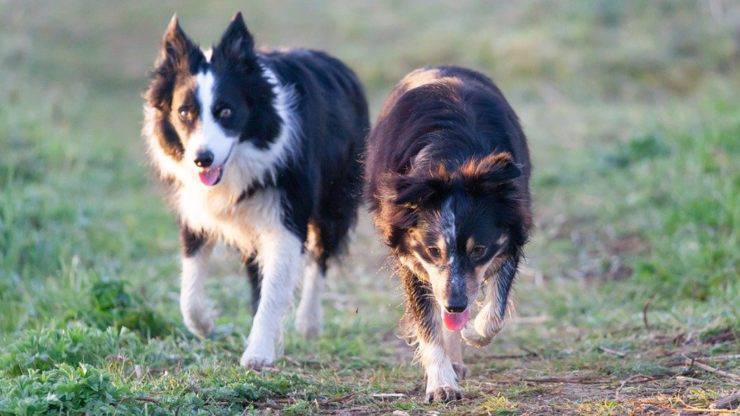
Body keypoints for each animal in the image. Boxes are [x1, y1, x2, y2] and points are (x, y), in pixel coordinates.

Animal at [142, 13, 368, 368]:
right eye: (184, 112)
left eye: (226, 111)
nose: (202, 159)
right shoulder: (195, 209)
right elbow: (189, 288)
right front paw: (205, 325)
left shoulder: (287, 212)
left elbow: (275, 288)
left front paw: (258, 353)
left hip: (337, 193)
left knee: (321, 255)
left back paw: (309, 322)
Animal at [366, 66, 532, 404]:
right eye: (433, 251)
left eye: (479, 250)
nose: (455, 306)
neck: (453, 159)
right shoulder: (409, 252)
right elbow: (426, 321)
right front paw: (442, 385)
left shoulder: (511, 226)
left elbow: (494, 312)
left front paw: (471, 330)